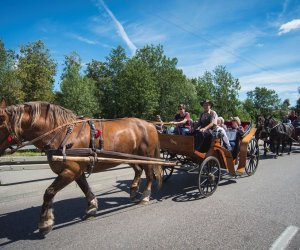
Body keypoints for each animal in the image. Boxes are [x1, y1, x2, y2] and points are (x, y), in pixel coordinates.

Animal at [0, 98, 163, 235]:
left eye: (0, 124)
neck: (62, 133)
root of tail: (150, 124)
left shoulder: (70, 171)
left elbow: (49, 192)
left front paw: (45, 222)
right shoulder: (77, 171)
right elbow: (85, 188)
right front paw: (92, 207)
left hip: (147, 156)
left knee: (149, 175)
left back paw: (145, 196)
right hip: (129, 156)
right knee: (138, 170)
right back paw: (134, 190)